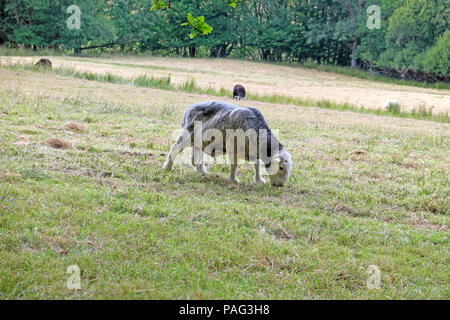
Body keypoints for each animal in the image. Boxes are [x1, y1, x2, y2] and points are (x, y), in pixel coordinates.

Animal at [163, 99, 294, 185]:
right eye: (281, 167)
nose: (281, 186)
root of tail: (188, 109)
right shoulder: (233, 147)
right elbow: (235, 165)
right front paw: (233, 179)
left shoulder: (253, 151)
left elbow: (257, 165)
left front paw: (259, 180)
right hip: (187, 134)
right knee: (174, 149)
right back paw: (167, 167)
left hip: (198, 139)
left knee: (195, 158)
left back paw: (203, 172)